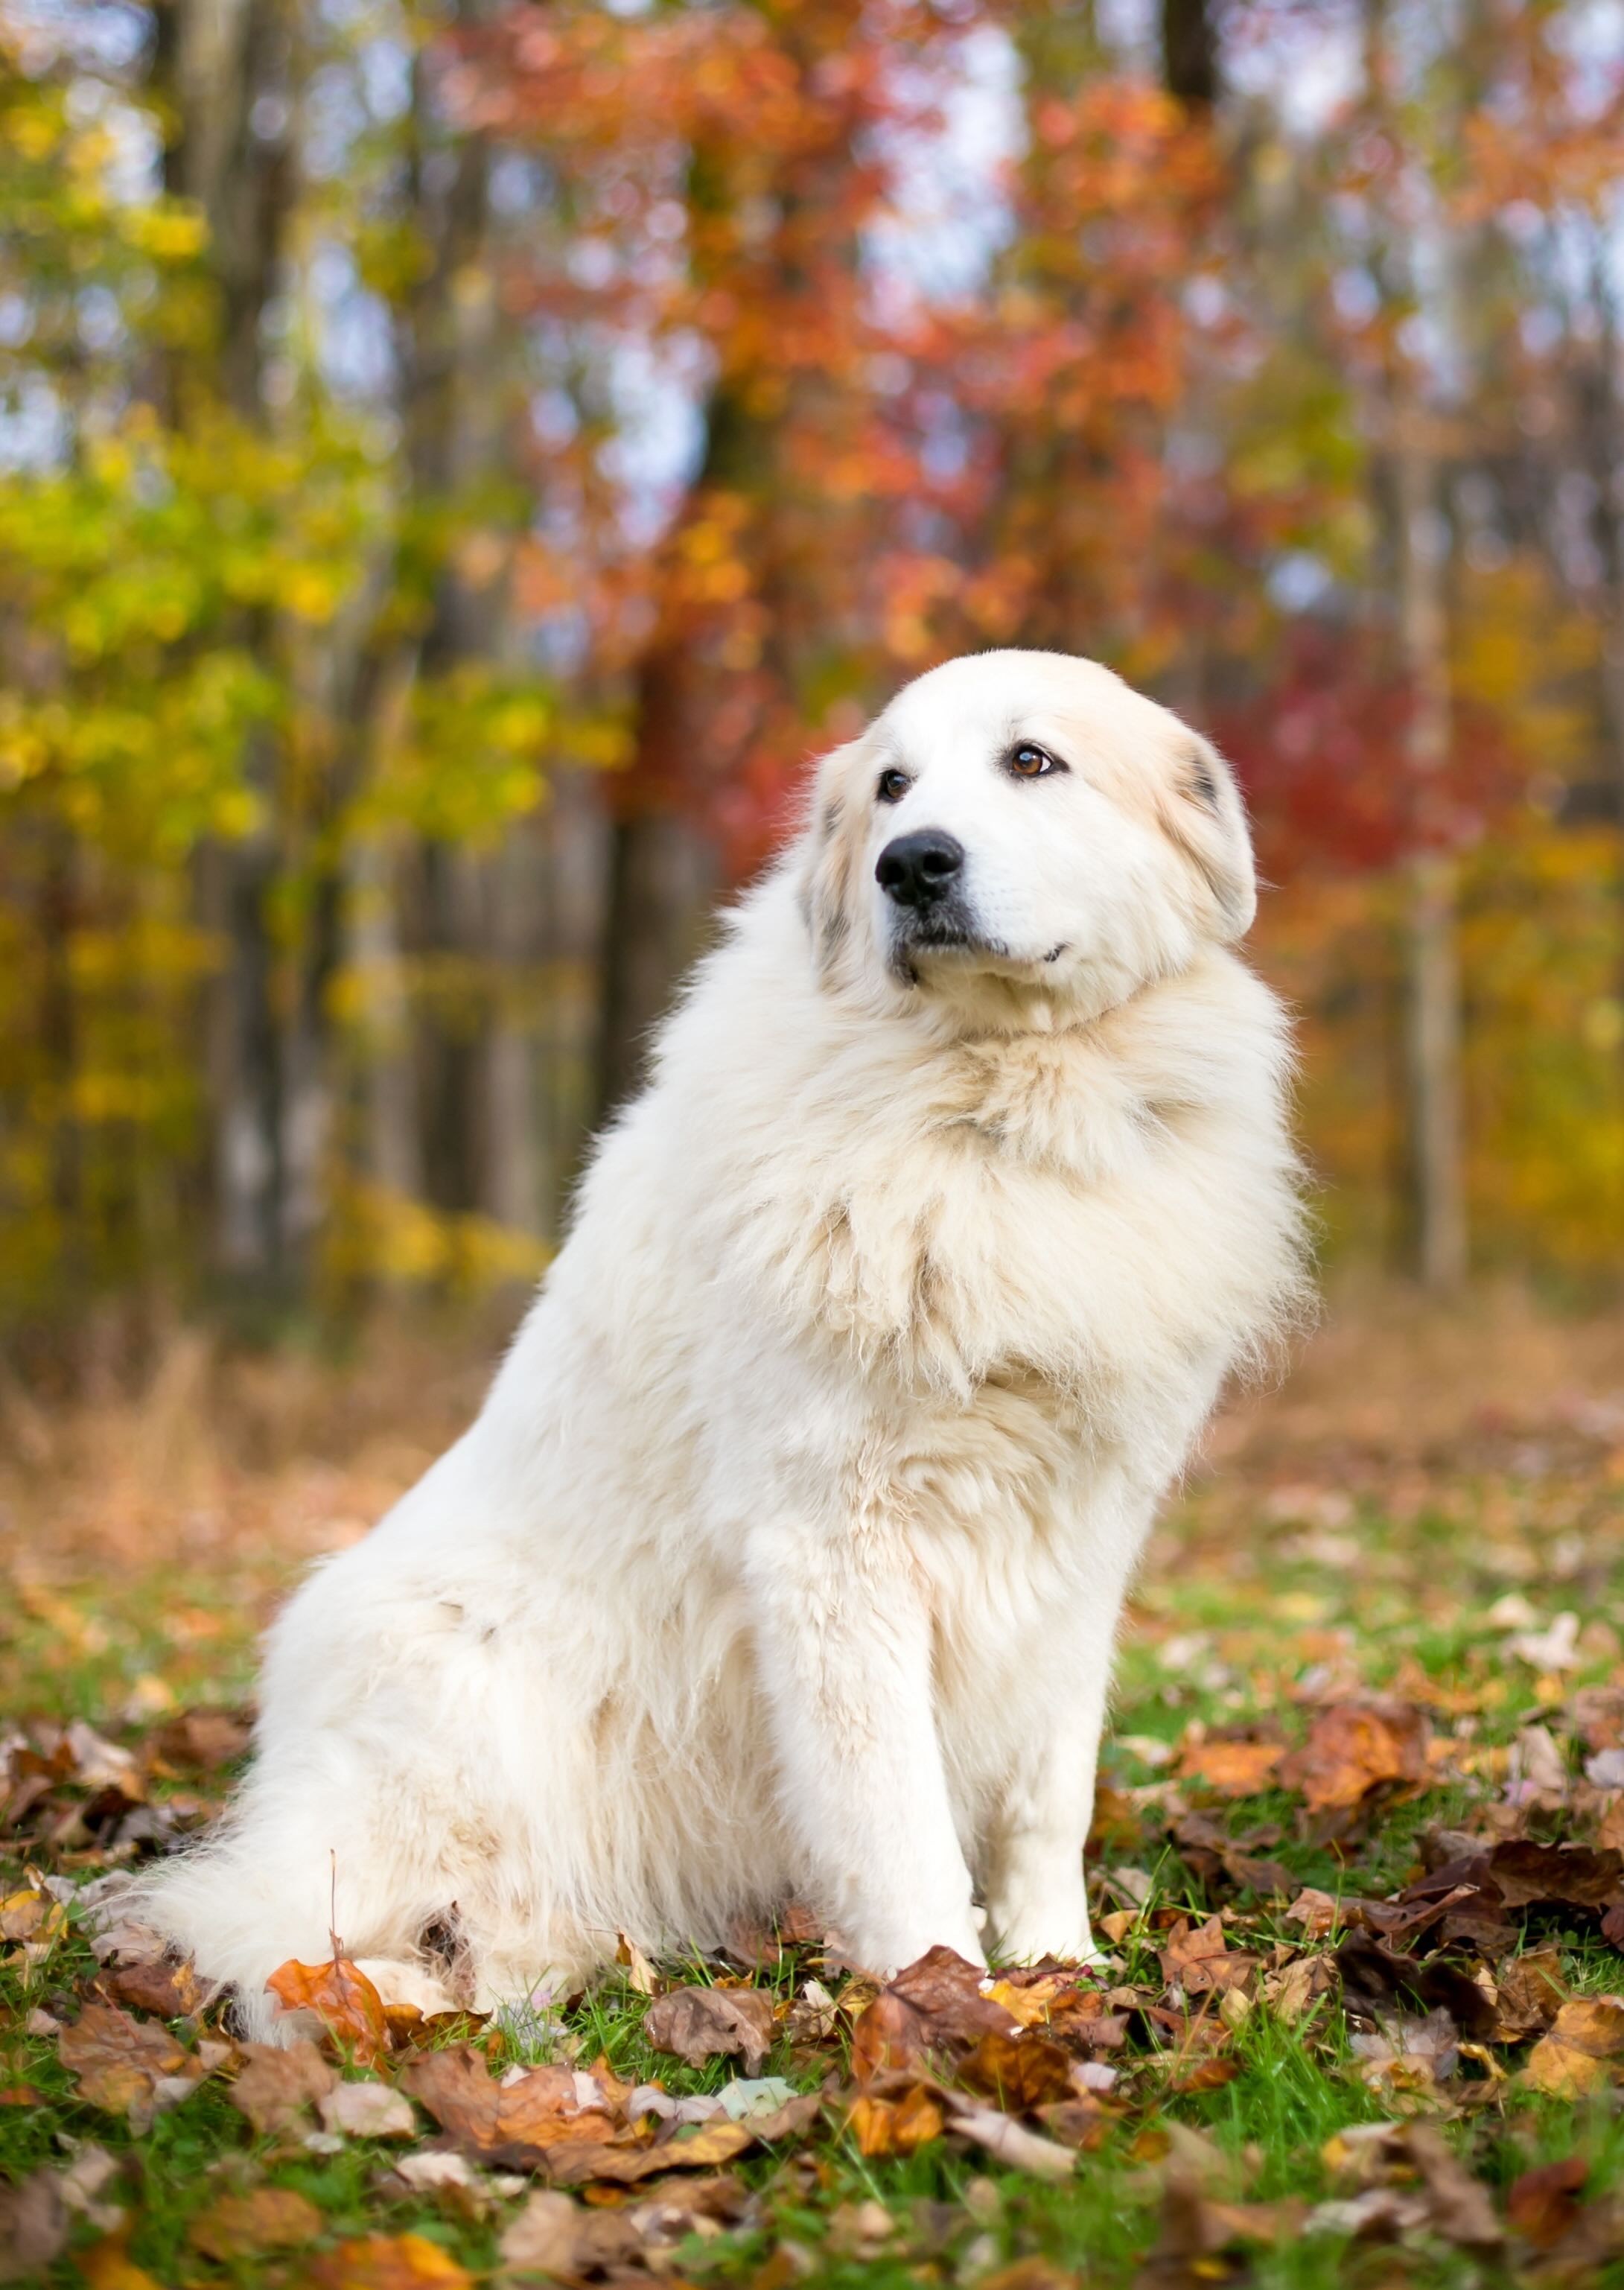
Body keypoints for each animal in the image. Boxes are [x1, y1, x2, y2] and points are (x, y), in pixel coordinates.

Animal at [136, 650, 1301, 2042]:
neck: (998, 1109)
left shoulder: (1079, 1539)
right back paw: (412, 1989)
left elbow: (1046, 1790)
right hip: (457, 1696)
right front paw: (943, 1992)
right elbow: (893, 1810)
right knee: (276, 1929)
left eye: (1032, 761)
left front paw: (1054, 1961)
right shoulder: (834, 1545)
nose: (911, 863)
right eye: (892, 785)